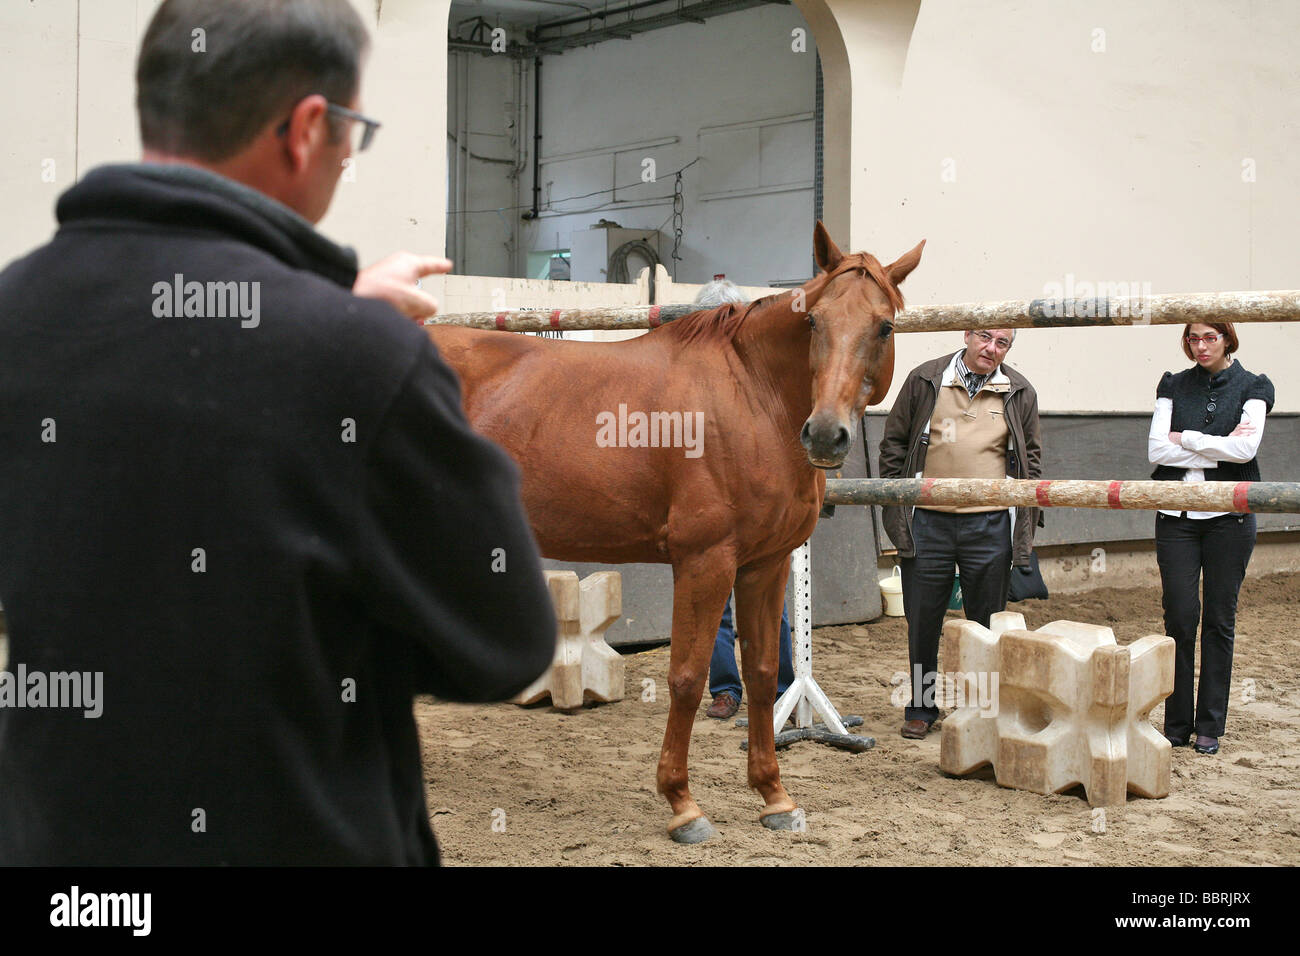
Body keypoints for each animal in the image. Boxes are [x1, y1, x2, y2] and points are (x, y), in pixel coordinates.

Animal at [431, 223, 920, 842]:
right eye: (813, 321)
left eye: (884, 326)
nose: (826, 435)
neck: (752, 395)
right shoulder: (705, 562)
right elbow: (686, 677)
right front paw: (683, 804)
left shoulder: (766, 564)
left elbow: (763, 673)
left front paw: (774, 797)